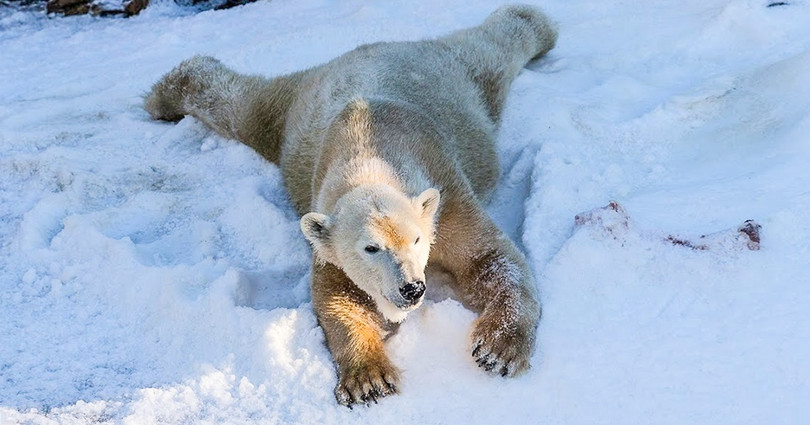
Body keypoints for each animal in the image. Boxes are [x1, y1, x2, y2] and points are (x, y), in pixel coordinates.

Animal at [144, 4, 557, 406]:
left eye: (417, 240)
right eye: (371, 248)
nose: (412, 289)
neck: (370, 152)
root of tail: (365, 50)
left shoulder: (448, 195)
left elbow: (491, 258)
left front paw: (498, 349)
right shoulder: (326, 229)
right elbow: (337, 294)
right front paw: (368, 379)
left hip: (454, 83)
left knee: (494, 50)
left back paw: (536, 25)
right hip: (297, 113)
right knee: (245, 110)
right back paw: (165, 94)